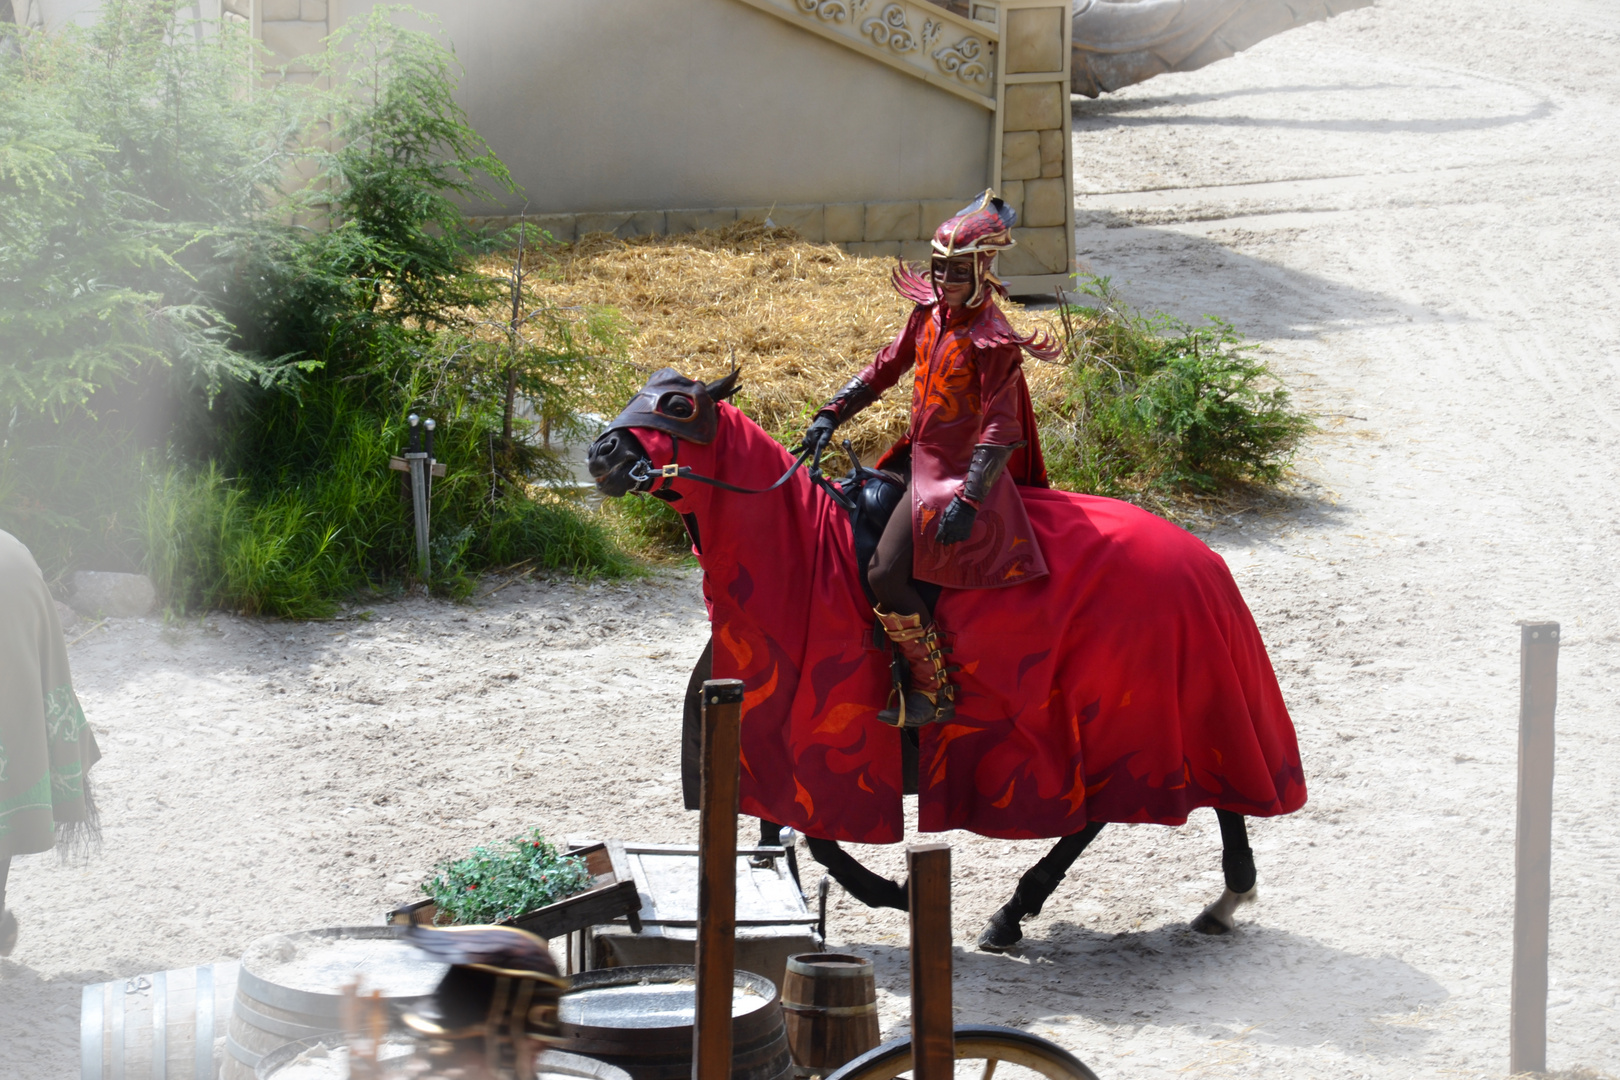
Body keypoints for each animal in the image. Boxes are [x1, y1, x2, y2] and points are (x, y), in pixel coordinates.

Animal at [586, 369, 1302, 945]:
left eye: (677, 405)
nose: (602, 452)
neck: (802, 555)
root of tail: (1205, 564)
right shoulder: (768, 747)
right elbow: (782, 837)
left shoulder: (813, 747)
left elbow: (818, 839)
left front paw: (900, 894)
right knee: (1205, 791)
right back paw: (1212, 899)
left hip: (1137, 716)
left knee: (1136, 806)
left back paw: (1031, 909)